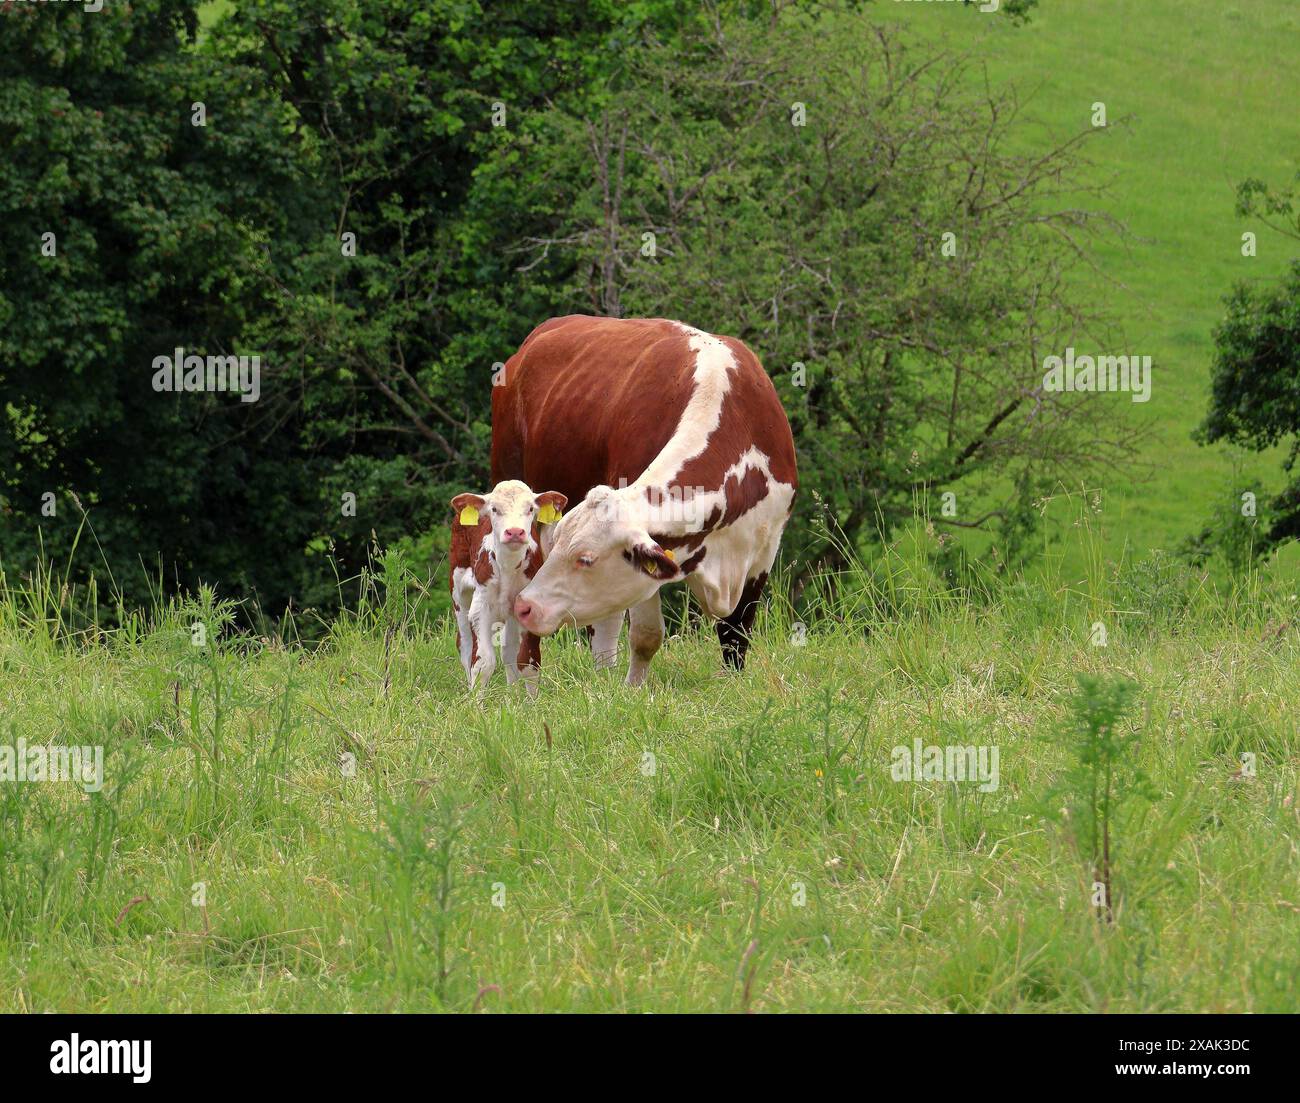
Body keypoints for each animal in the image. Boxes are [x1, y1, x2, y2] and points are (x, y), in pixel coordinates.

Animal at [448, 479, 566, 694]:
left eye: (530, 509)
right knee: (465, 644)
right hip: (458, 590)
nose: (515, 532)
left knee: (509, 651)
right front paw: (476, 702)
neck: (508, 567)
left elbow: (528, 663)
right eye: (494, 509)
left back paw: (512, 694)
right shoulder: (480, 608)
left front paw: (530, 701)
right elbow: (483, 663)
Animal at [492, 315, 798, 686]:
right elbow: (646, 635)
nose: (526, 607)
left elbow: (736, 632)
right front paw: (633, 690)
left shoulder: (765, 547)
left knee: (605, 624)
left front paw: (734, 685)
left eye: (586, 559)